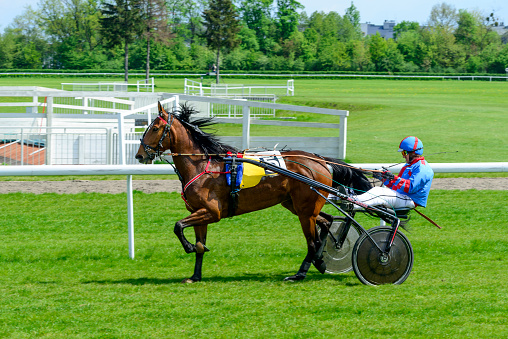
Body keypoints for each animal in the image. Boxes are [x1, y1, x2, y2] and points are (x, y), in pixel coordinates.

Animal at [137, 102, 372, 282]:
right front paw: (195, 275)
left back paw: (300, 273)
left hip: (305, 210)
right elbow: (200, 245)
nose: (140, 155)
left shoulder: (212, 212)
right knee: (327, 220)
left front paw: (188, 247)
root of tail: (320, 160)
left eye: (155, 128)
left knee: (312, 240)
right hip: (297, 205)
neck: (203, 166)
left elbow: (178, 226)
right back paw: (320, 261)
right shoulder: (199, 212)